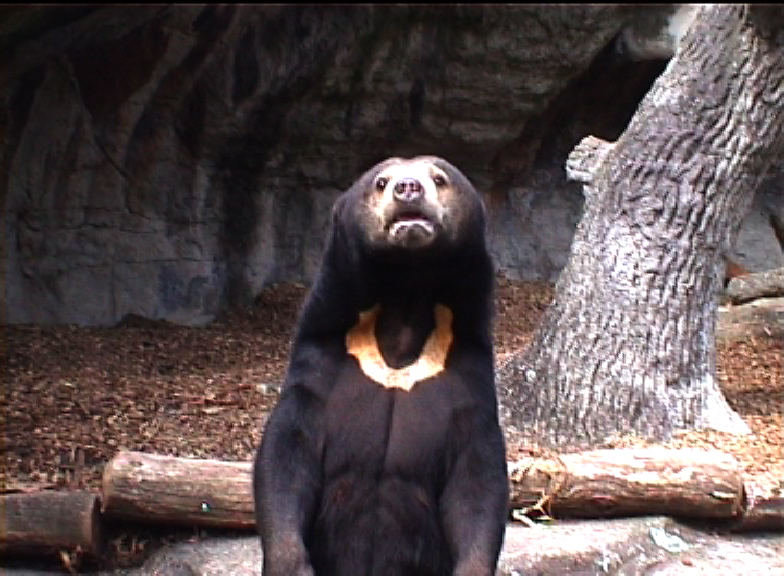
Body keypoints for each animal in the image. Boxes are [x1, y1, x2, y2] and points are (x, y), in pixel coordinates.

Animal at [253, 156, 509, 576]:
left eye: (439, 178)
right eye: (381, 181)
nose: (409, 188)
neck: (404, 298)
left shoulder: (466, 376)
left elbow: (477, 479)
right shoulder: (322, 364)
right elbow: (286, 453)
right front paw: (291, 563)